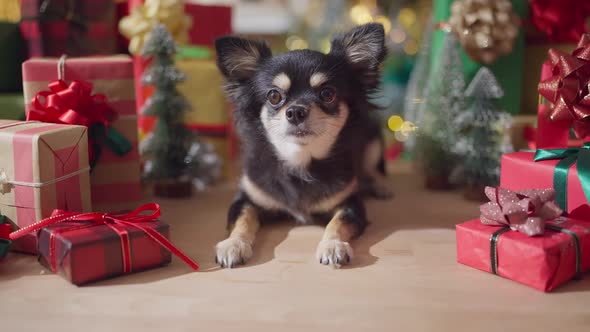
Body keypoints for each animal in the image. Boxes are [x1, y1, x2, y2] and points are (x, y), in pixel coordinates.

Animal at [215, 22, 390, 268]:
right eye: (274, 96)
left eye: (327, 93)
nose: (296, 111)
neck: (299, 158)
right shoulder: (247, 199)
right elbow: (242, 220)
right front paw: (234, 244)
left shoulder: (350, 204)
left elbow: (337, 223)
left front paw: (332, 245)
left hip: (373, 142)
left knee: (374, 169)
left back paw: (381, 186)